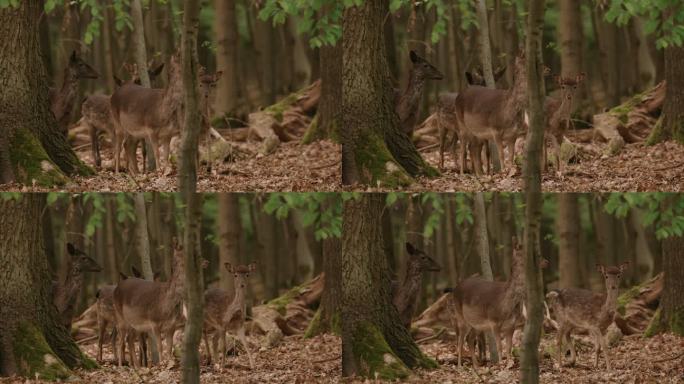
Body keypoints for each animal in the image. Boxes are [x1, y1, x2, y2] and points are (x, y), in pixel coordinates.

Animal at [113, 238, 186, 368]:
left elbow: (169, 347)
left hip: (134, 324)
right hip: (120, 317)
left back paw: (137, 366)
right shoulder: (154, 322)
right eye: (184, 254)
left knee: (129, 340)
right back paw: (121, 366)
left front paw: (170, 364)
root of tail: (116, 288)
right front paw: (162, 364)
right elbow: (160, 346)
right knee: (121, 341)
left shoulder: (172, 326)